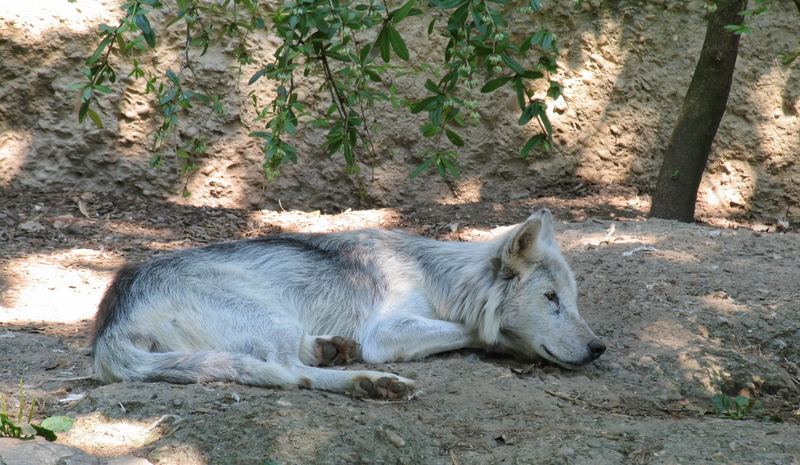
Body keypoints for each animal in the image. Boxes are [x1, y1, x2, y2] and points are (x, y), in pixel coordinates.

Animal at [92, 208, 608, 396]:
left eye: (573, 300)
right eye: (550, 298)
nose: (598, 348)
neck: (437, 278)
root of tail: (108, 327)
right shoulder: (386, 333)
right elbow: (478, 330)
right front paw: (505, 338)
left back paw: (333, 349)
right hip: (271, 318)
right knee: (286, 371)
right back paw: (372, 381)